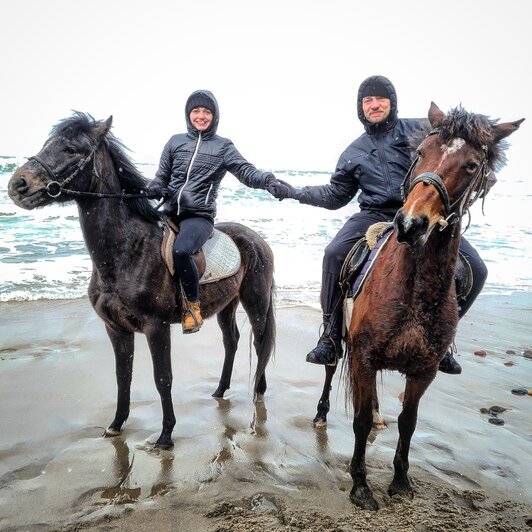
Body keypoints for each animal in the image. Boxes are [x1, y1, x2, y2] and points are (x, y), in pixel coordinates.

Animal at [7, 112, 274, 448]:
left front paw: (165, 435)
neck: (127, 252)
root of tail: (258, 240)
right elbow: (123, 376)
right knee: (232, 341)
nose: (17, 184)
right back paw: (220, 390)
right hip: (227, 304)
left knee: (261, 342)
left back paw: (258, 393)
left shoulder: (156, 327)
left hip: (256, 302)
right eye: (47, 144)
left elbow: (163, 379)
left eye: (71, 148)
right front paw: (116, 425)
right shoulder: (116, 328)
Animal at [322, 102, 520, 510]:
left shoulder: (423, 371)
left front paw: (400, 481)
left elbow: (408, 422)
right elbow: (358, 422)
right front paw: (360, 485)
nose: (411, 223)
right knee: (331, 373)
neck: (413, 290)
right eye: (420, 153)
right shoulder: (363, 357)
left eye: (472, 165)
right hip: (341, 345)